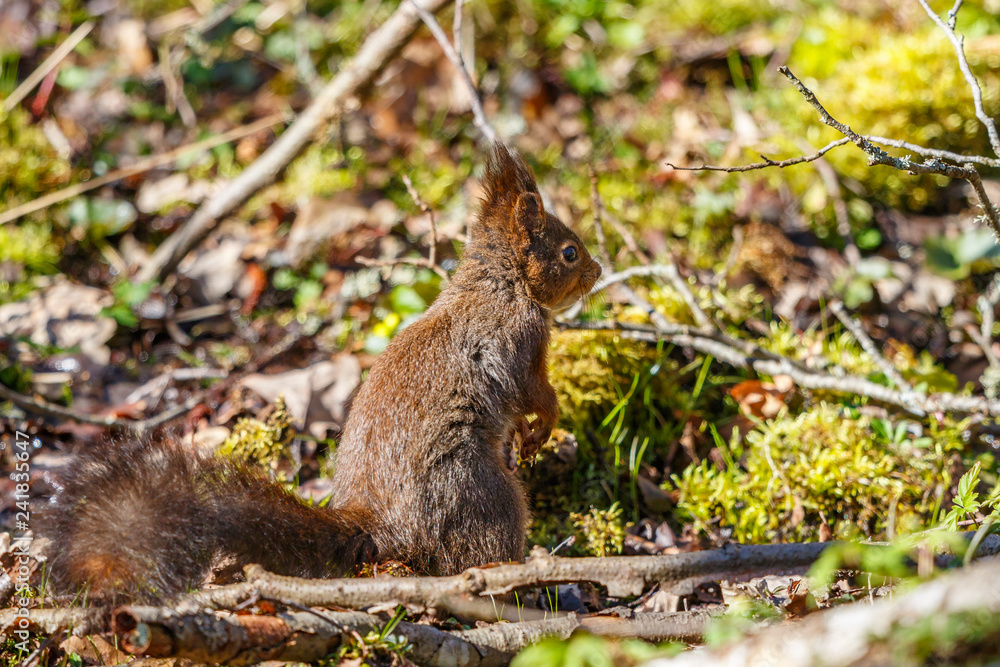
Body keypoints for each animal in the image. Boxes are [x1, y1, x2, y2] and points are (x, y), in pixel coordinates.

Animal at [39, 143, 602, 602]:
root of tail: (380, 524)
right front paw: (544, 426)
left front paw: (530, 435)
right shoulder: (520, 342)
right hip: (481, 495)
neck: (500, 285)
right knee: (475, 554)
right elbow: (534, 391)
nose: (597, 272)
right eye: (569, 252)